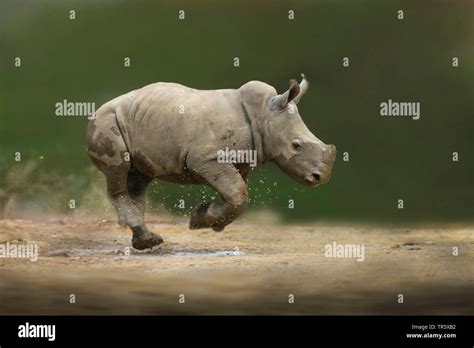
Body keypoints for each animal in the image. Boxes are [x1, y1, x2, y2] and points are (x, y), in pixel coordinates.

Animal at [86, 75, 336, 249]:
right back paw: (148, 241)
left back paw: (146, 241)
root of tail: (96, 110)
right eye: (296, 145)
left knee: (138, 181)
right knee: (119, 173)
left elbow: (236, 194)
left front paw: (203, 218)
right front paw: (202, 220)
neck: (264, 116)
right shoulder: (205, 158)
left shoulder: (242, 161)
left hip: (134, 120)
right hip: (107, 122)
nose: (321, 177)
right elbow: (238, 194)